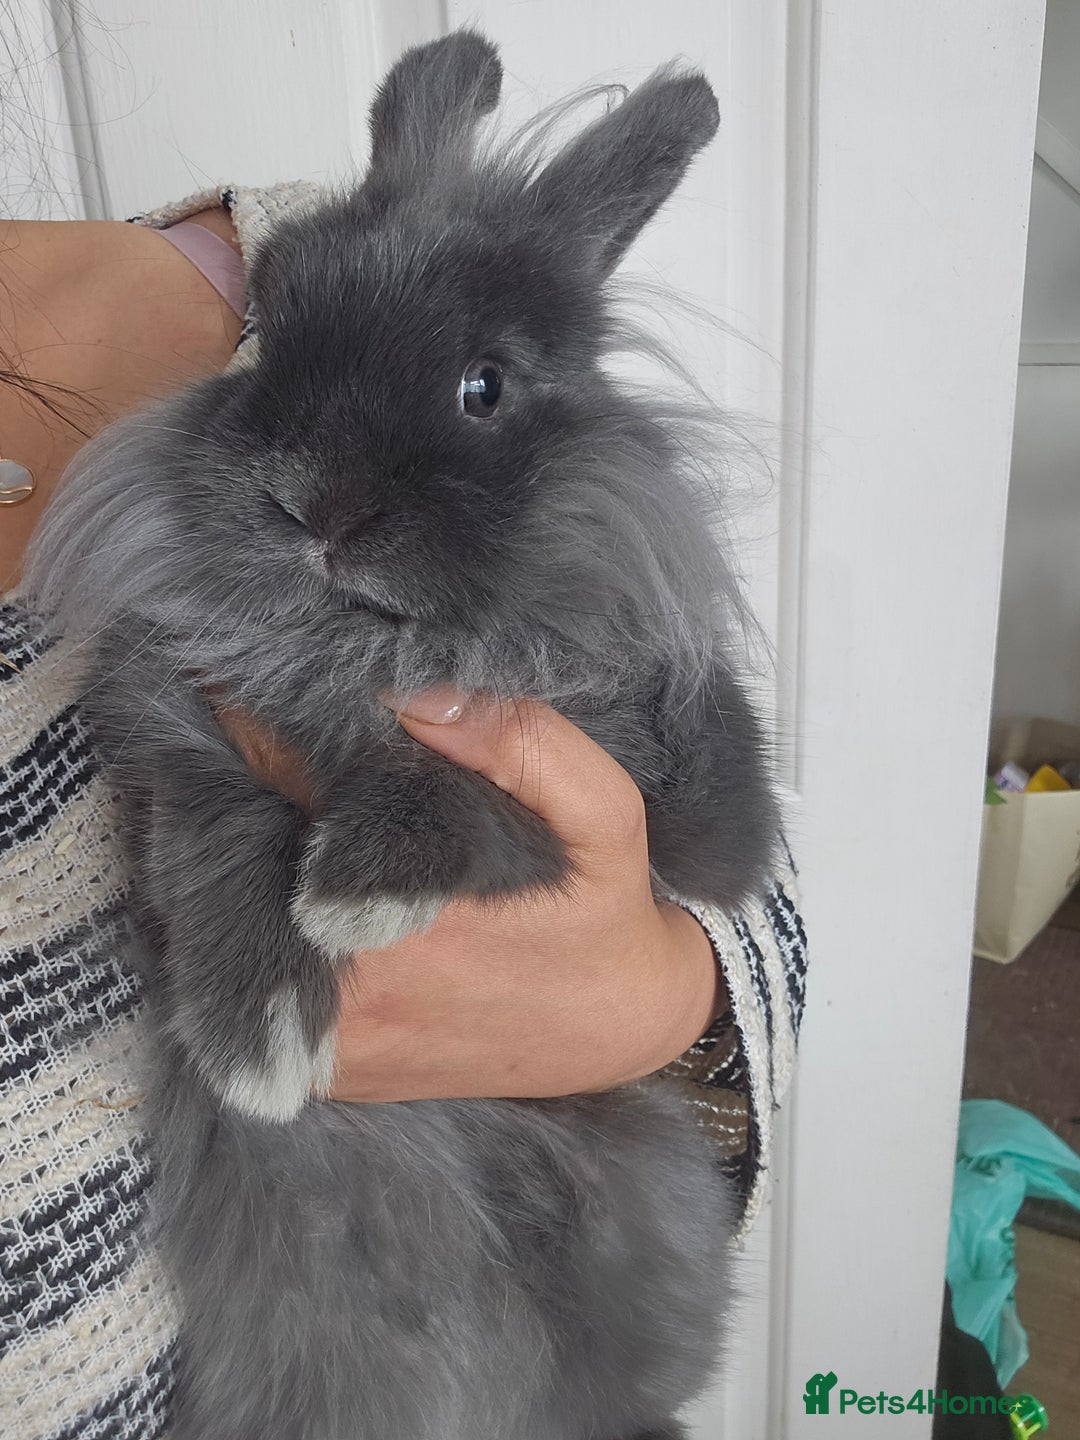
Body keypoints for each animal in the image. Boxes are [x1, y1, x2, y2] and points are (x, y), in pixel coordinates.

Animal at [26, 28, 780, 1440]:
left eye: (484, 385)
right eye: (267, 330)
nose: (308, 503)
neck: (360, 644)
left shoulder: (659, 810)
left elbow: (505, 792)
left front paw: (362, 883)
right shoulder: (165, 726)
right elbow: (227, 817)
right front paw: (260, 1033)